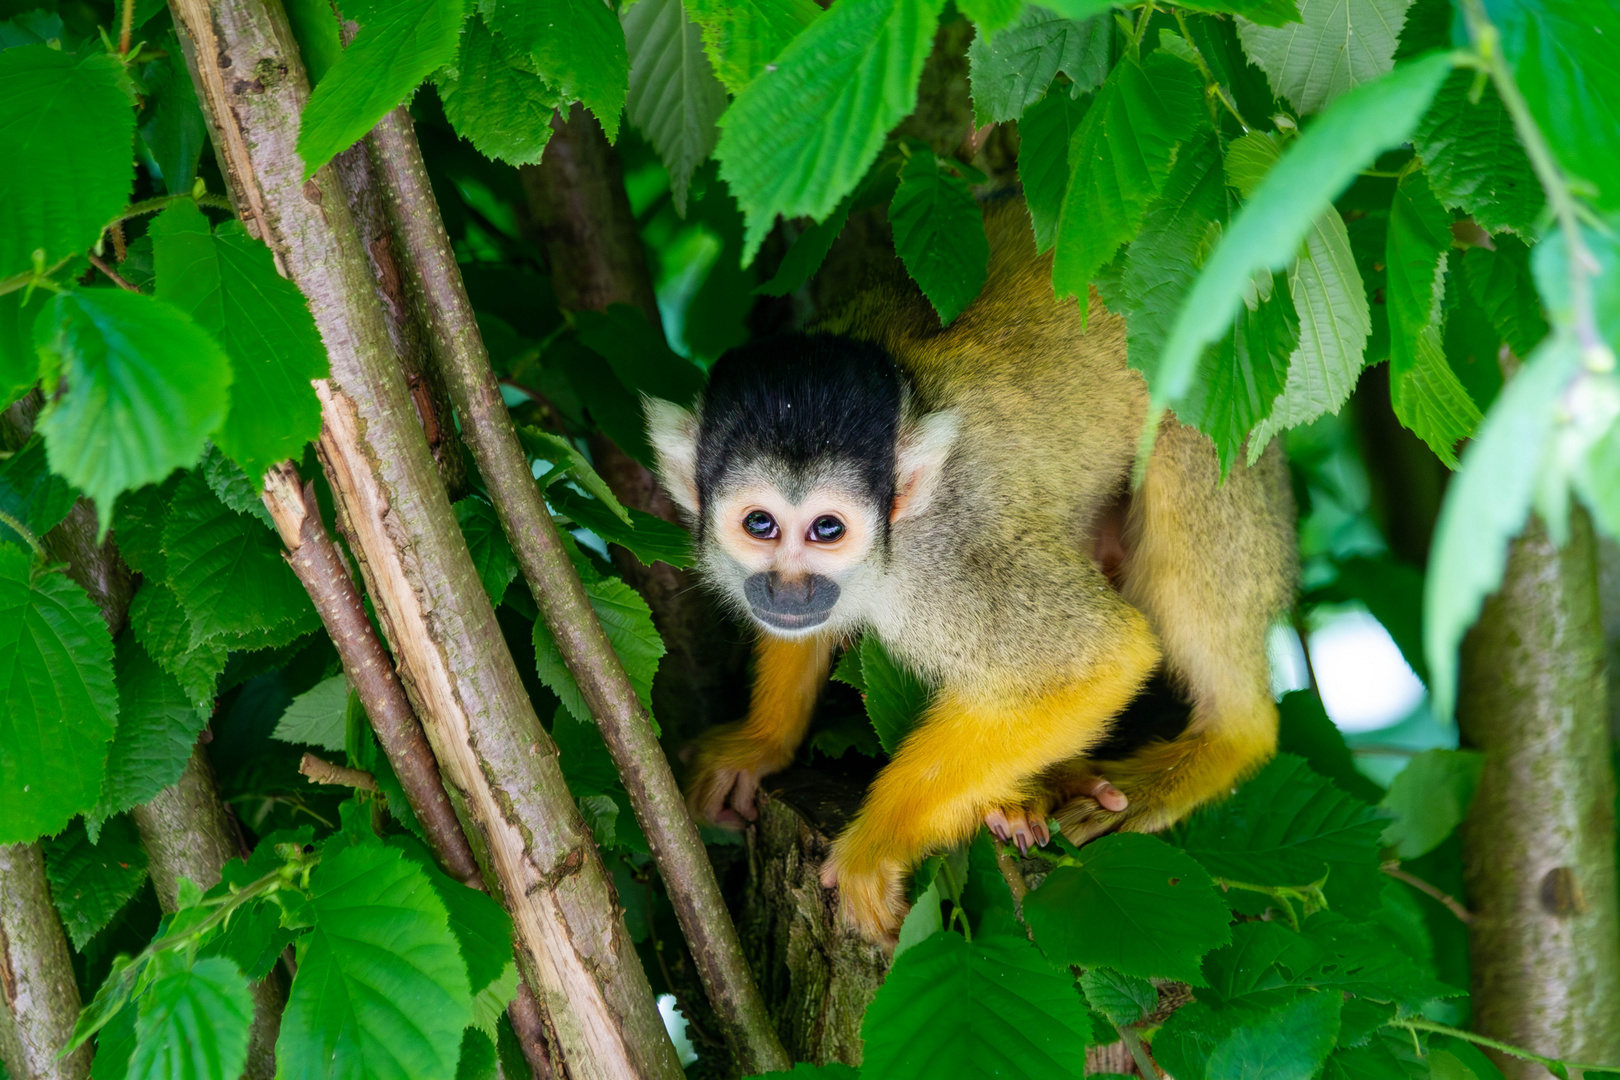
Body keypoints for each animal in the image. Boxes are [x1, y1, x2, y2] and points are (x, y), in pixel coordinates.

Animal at [638, 198, 1296, 939]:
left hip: (1234, 427)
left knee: (1187, 468)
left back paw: (1228, 738)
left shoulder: (953, 559)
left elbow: (1102, 657)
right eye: (760, 525)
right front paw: (761, 742)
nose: (789, 589)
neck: (889, 550)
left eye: (828, 529)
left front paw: (875, 845)